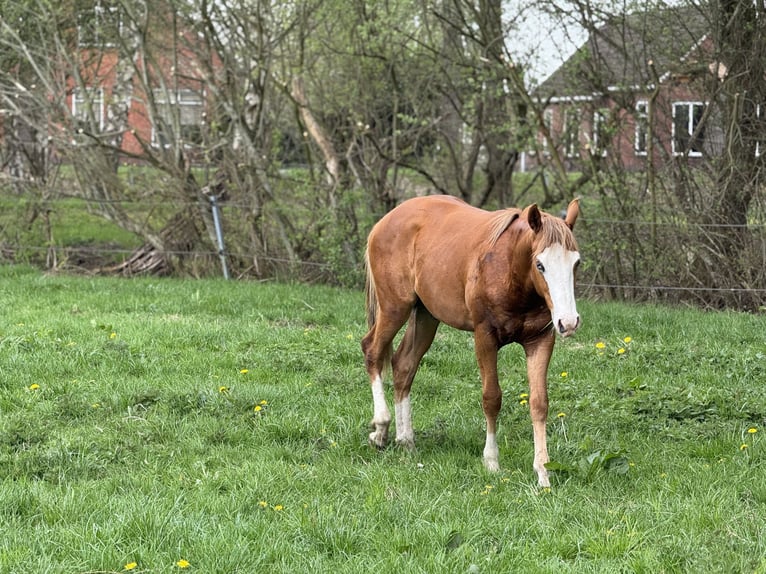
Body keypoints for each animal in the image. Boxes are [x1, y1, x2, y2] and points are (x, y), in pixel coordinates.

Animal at [361, 195, 580, 488]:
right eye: (540, 265)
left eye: (576, 263)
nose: (568, 322)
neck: (510, 272)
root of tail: (384, 222)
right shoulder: (484, 337)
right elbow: (492, 398)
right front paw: (491, 461)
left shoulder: (540, 340)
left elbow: (539, 403)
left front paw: (543, 471)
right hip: (395, 307)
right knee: (372, 350)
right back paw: (381, 429)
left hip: (426, 315)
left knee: (404, 365)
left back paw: (405, 440)